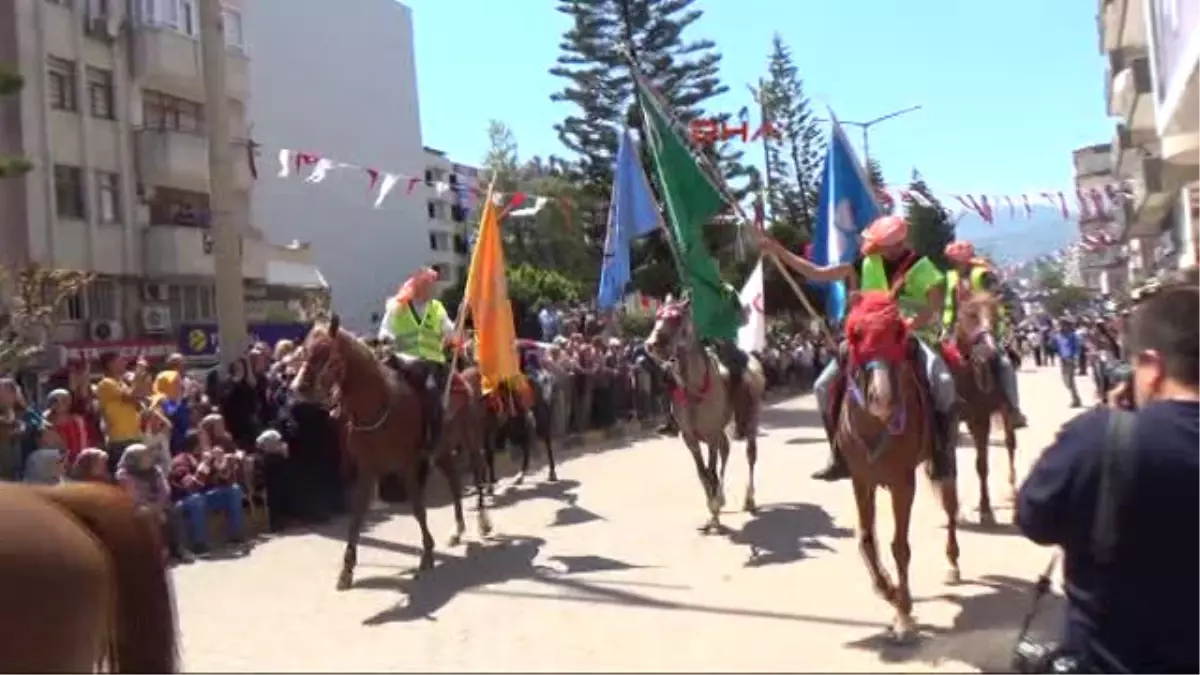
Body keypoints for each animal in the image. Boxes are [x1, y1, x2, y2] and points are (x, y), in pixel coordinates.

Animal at [290, 314, 492, 588]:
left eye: (324, 352)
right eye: (304, 350)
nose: (297, 387)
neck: (378, 405)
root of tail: (465, 377)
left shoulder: (407, 465)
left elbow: (418, 509)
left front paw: (427, 554)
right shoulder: (367, 470)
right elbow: (357, 516)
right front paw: (347, 569)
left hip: (471, 440)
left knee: (479, 475)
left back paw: (483, 522)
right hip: (441, 451)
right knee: (454, 482)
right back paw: (457, 530)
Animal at [840, 289, 960, 638]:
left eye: (898, 332)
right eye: (856, 334)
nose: (881, 399)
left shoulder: (902, 483)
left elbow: (899, 546)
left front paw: (903, 613)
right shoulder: (861, 480)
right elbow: (867, 540)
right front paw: (888, 590)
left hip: (944, 457)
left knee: (951, 508)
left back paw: (953, 564)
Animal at [950, 285, 1017, 523]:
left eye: (996, 316)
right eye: (971, 314)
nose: (989, 352)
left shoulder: (980, 420)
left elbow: (982, 465)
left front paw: (986, 509)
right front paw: (955, 509)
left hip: (1006, 412)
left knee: (1010, 445)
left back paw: (1013, 493)